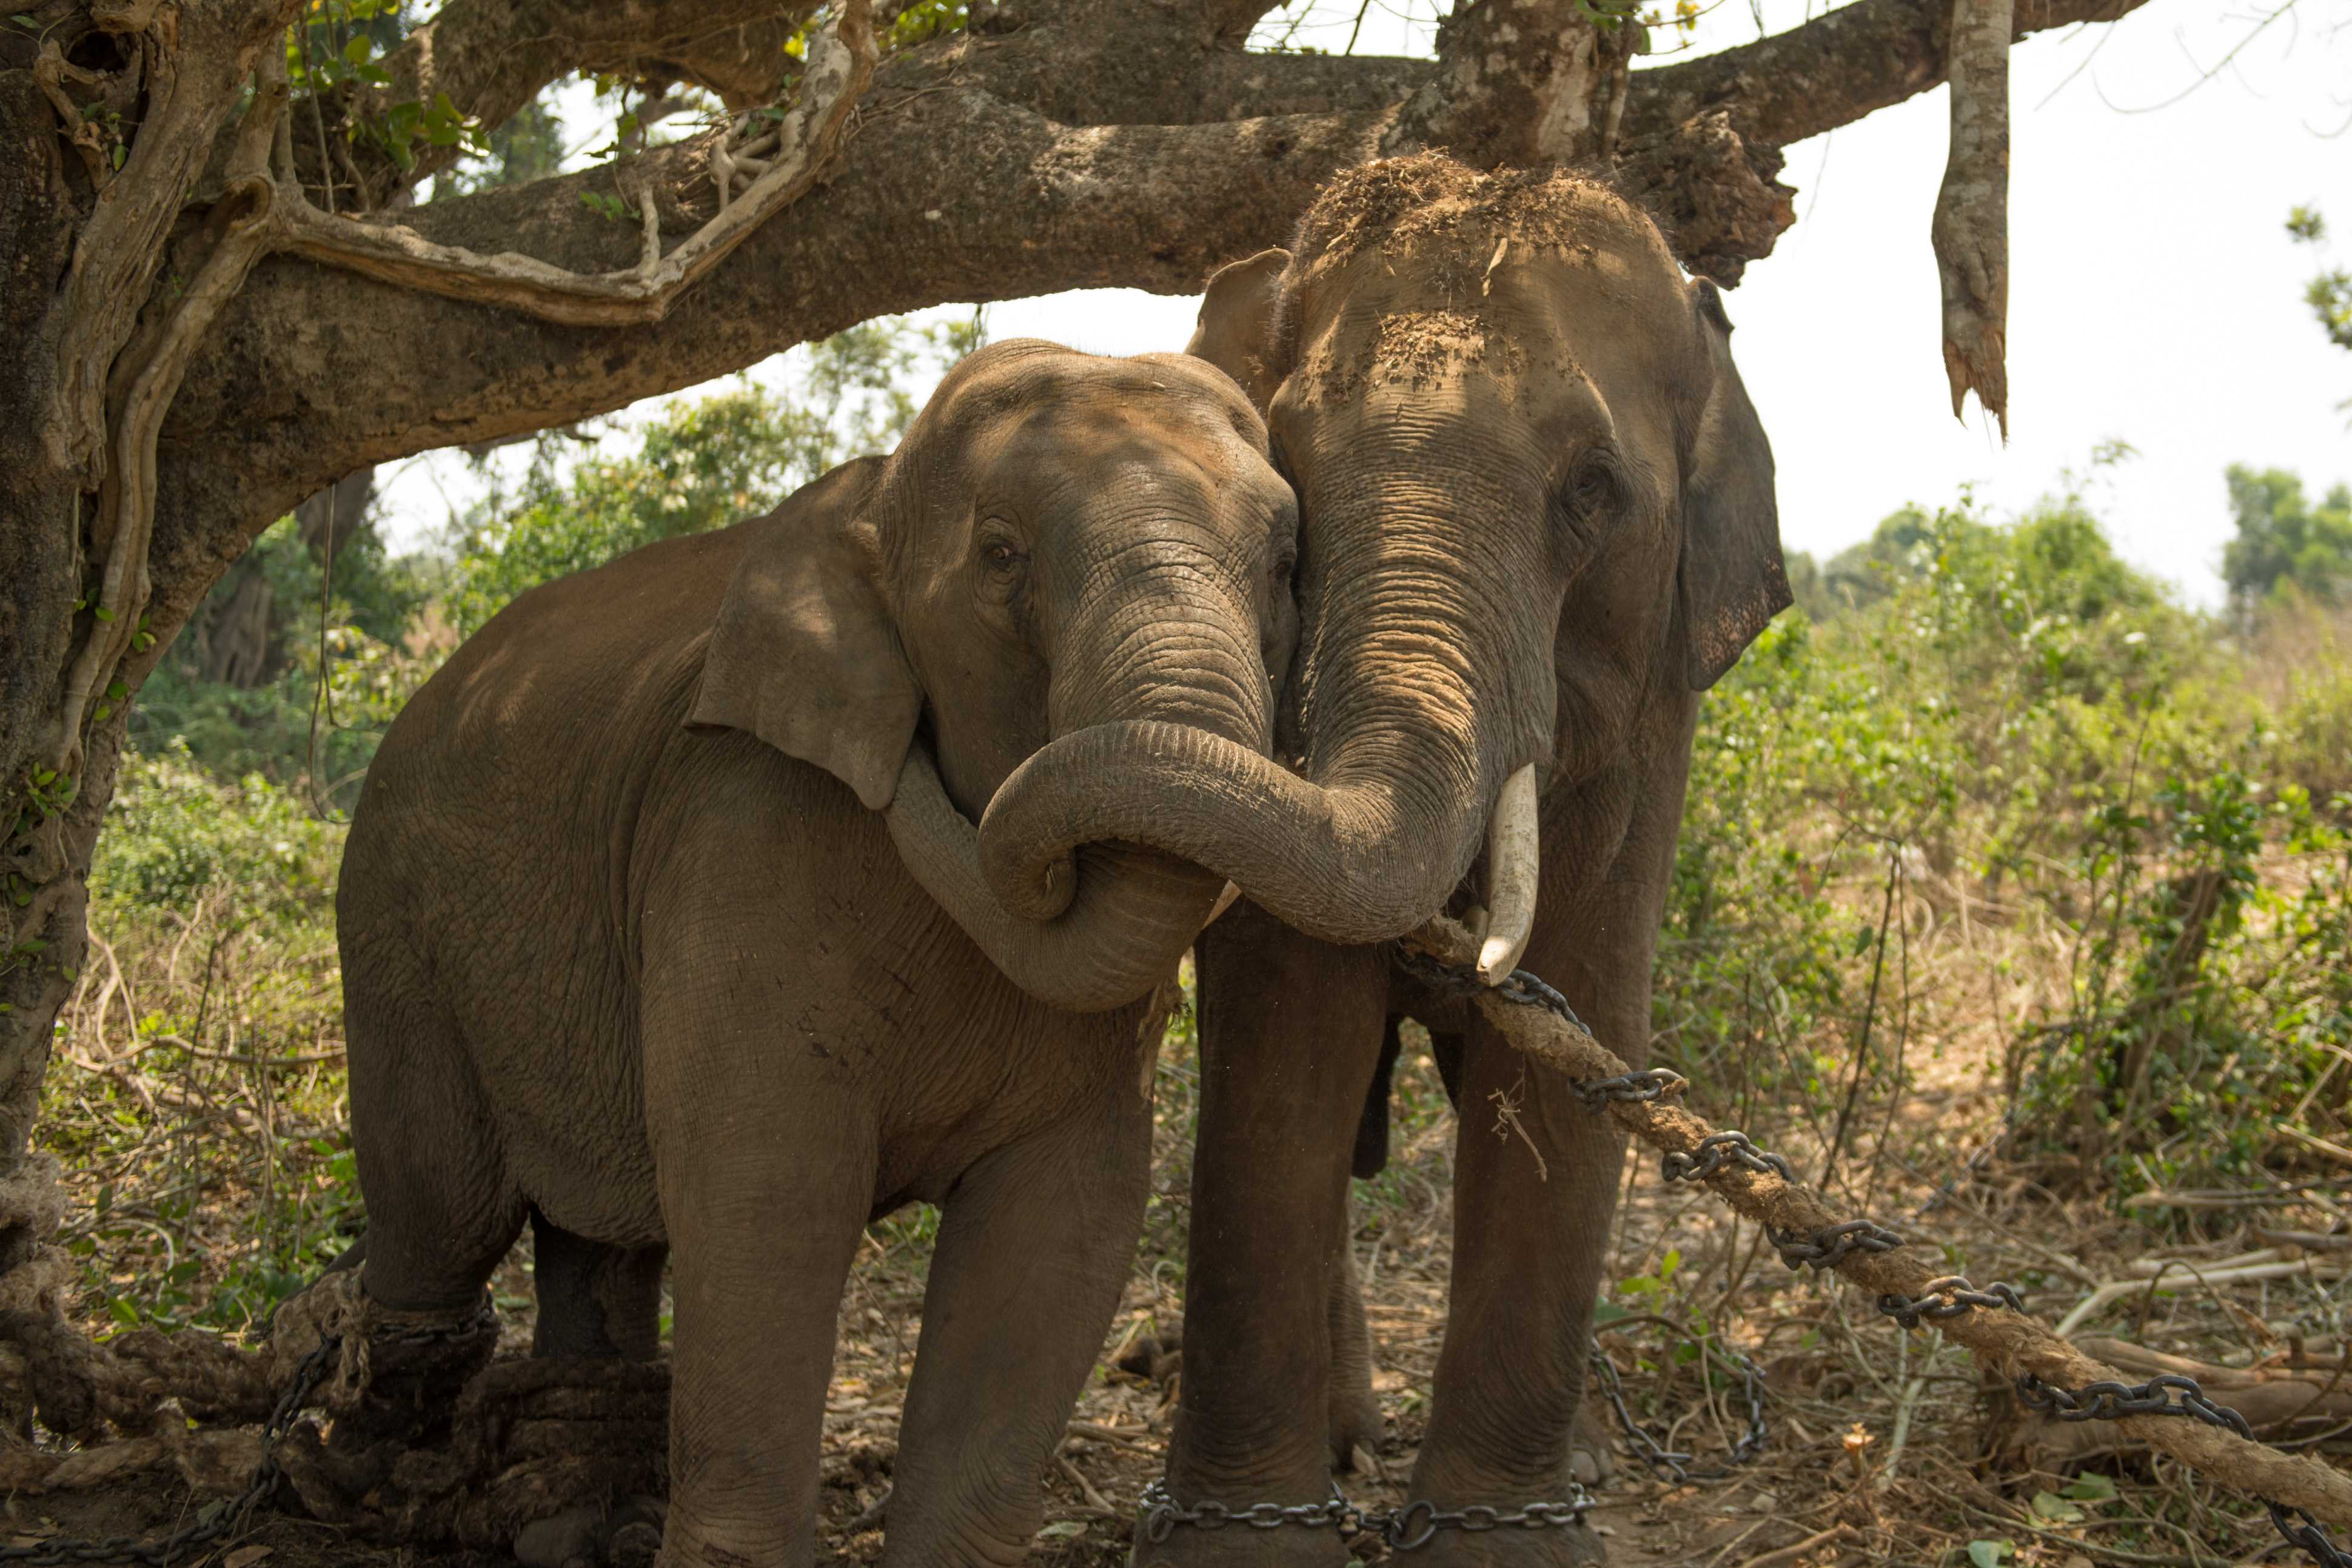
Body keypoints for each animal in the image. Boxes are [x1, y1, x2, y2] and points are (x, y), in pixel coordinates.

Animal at [331, 339, 1300, 1568]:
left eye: (1286, 561)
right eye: (999, 555)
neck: (871, 499)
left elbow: (1063, 1218)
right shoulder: (742, 830)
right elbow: (769, 1199)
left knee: (603, 1238)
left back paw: (569, 1514)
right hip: (392, 918)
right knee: (442, 1210)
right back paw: (360, 1477)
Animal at [969, 155, 1789, 1564]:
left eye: (1592, 490)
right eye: (1288, 468)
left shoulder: (1654, 709)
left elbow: (1582, 1026)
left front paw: (1505, 1541)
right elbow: (1287, 1032)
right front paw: (1240, 1544)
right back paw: (1345, 1442)